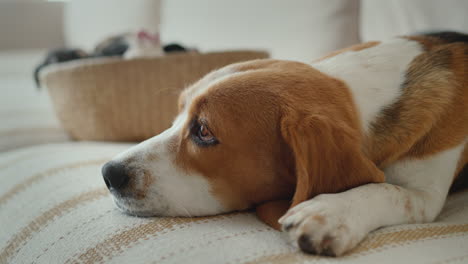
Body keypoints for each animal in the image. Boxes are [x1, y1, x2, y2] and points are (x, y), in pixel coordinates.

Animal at [103, 31, 468, 256]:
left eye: (204, 131)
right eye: (177, 114)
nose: (108, 173)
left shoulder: (427, 196)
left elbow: (387, 190)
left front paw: (330, 212)